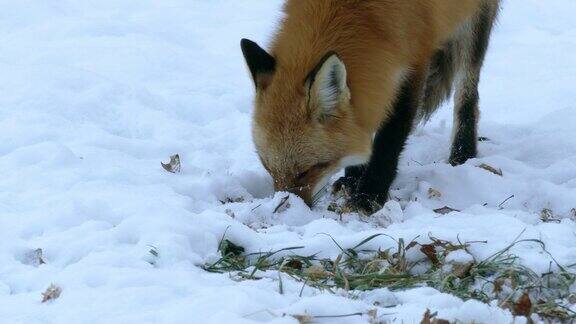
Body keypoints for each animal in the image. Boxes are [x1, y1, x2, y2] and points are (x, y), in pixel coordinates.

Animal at [241, 0, 502, 213]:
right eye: (267, 168)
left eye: (307, 171)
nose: (285, 208)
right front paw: (353, 178)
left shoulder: (414, 62)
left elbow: (390, 137)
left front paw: (370, 195)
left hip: (474, 23)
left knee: (467, 94)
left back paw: (463, 153)